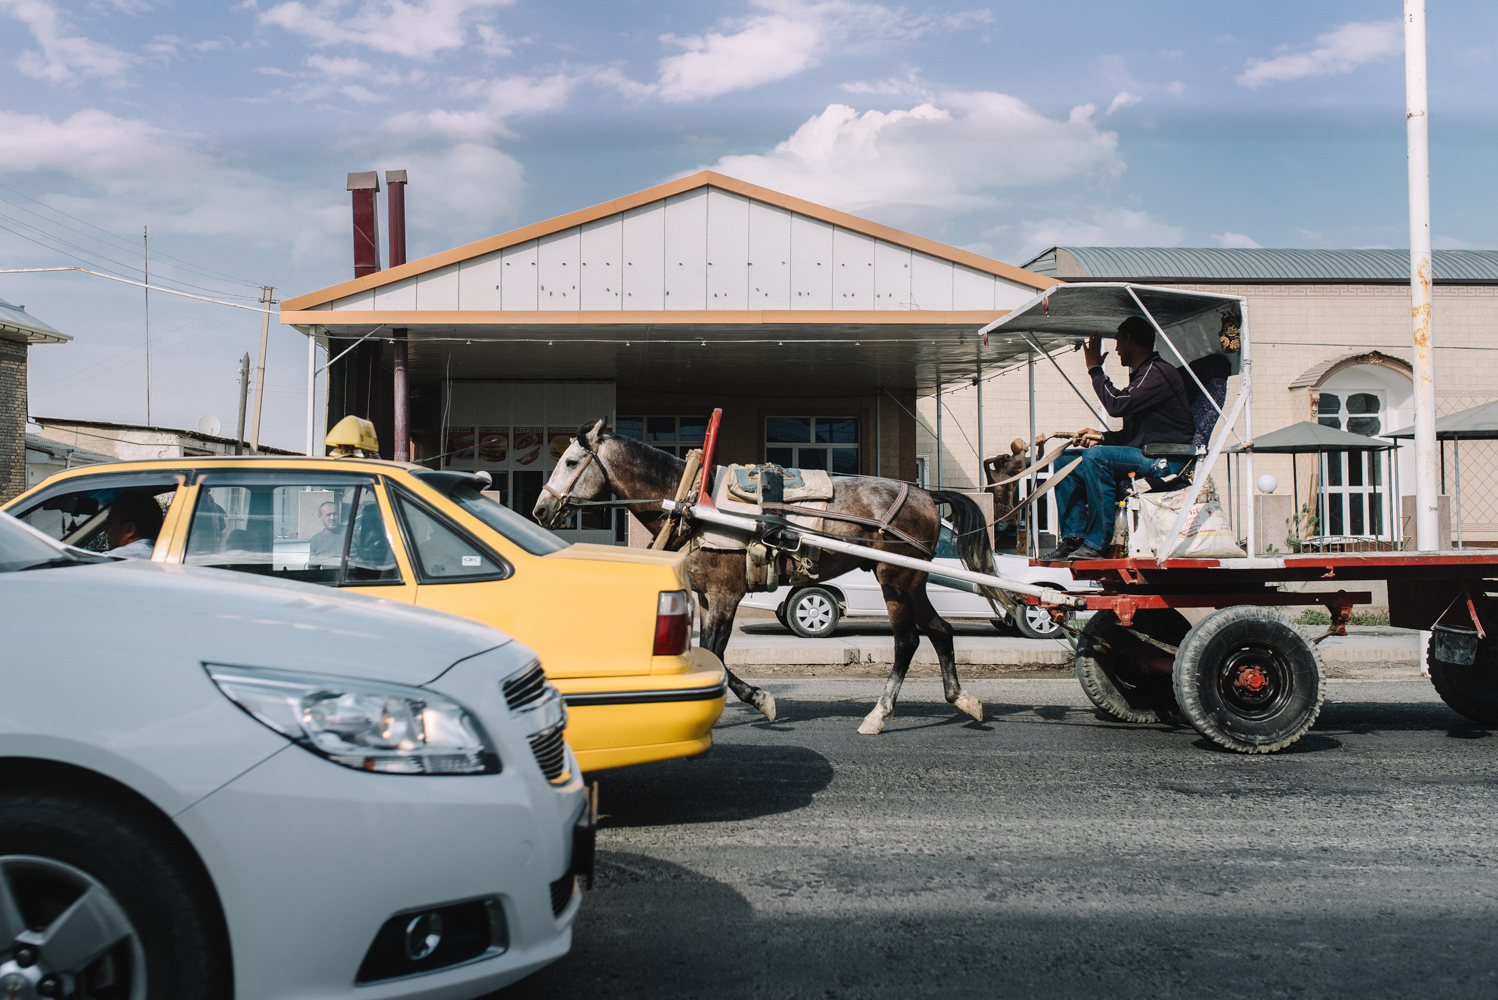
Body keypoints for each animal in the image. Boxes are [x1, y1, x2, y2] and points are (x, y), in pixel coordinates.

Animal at [539, 419, 1006, 739]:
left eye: (571, 461)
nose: (541, 509)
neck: (688, 499)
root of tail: (927, 494)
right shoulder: (706, 596)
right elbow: (710, 653)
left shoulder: (725, 594)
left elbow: (716, 654)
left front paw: (760, 700)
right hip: (911, 580)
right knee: (940, 630)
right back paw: (962, 699)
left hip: (896, 577)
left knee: (907, 641)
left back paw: (879, 713)